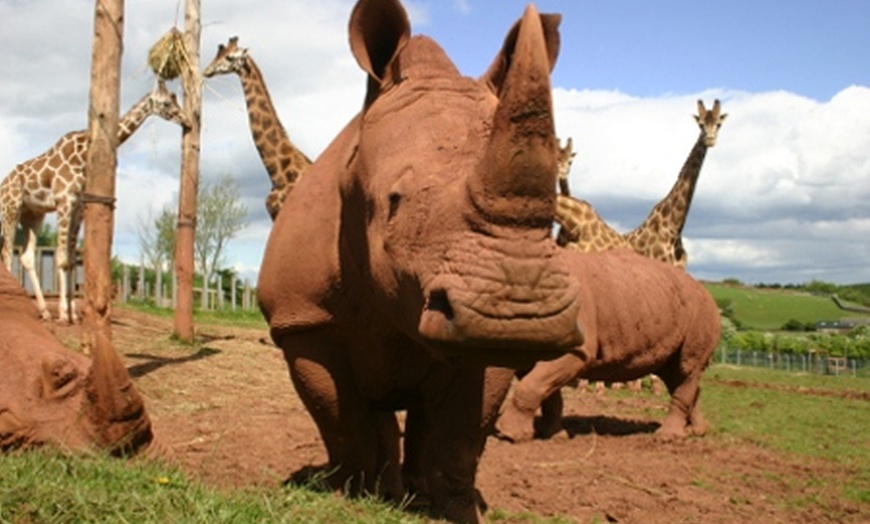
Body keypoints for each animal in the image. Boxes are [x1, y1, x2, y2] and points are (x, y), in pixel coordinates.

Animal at [0, 80, 189, 322]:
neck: (82, 156)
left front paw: (72, 313)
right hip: (11, 209)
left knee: (26, 257)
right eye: (166, 102)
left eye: (175, 99)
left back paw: (44, 311)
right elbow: (62, 258)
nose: (186, 120)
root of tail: (3, 186)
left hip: (33, 214)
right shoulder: (64, 202)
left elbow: (71, 260)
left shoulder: (78, 205)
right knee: (7, 255)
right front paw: (64, 315)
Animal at [258, 2, 584, 520]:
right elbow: (342, 421)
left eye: (553, 220)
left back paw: (410, 492)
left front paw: (453, 508)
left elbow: (460, 438)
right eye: (394, 201)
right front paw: (346, 497)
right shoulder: (303, 320)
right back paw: (383, 488)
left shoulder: (483, 346)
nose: (519, 315)